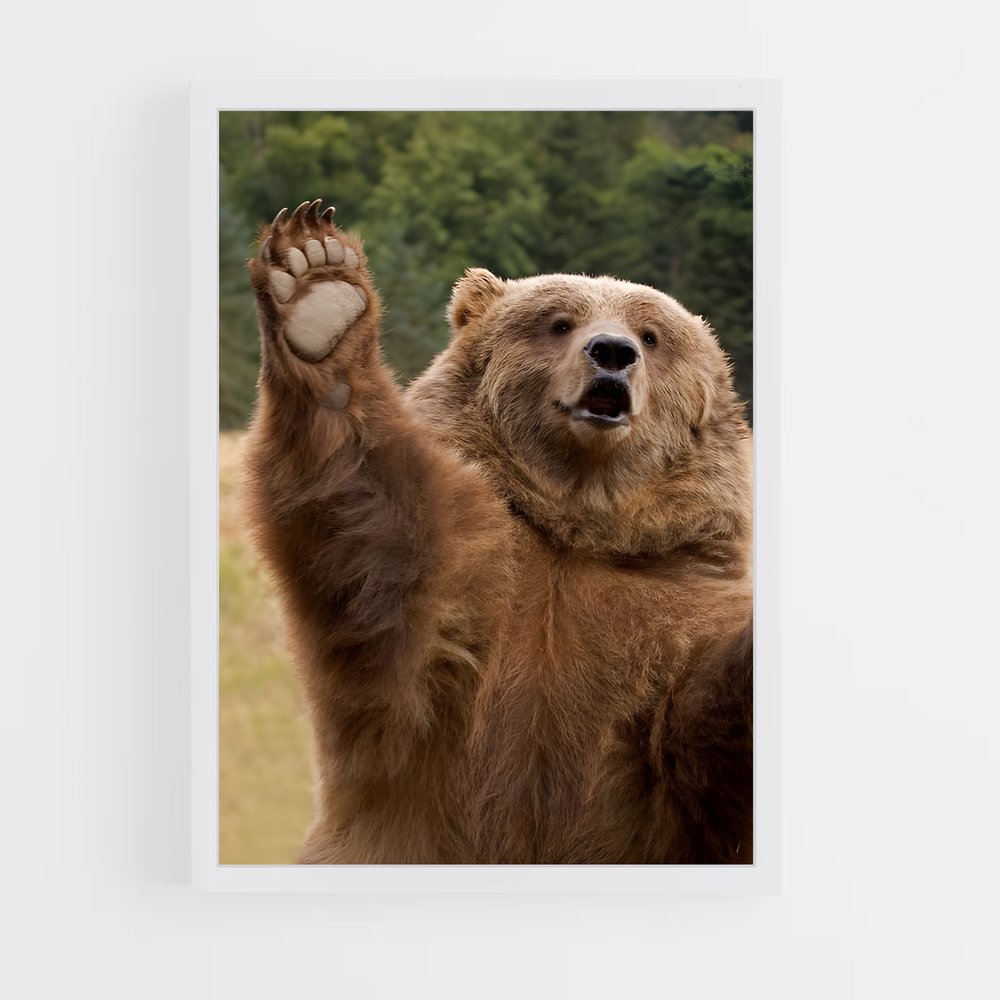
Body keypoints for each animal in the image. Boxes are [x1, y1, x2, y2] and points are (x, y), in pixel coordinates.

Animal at [242, 198, 754, 865]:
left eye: (652, 335)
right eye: (559, 322)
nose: (612, 352)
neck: (575, 526)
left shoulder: (670, 603)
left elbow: (701, 728)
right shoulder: (466, 589)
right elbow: (374, 529)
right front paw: (318, 288)